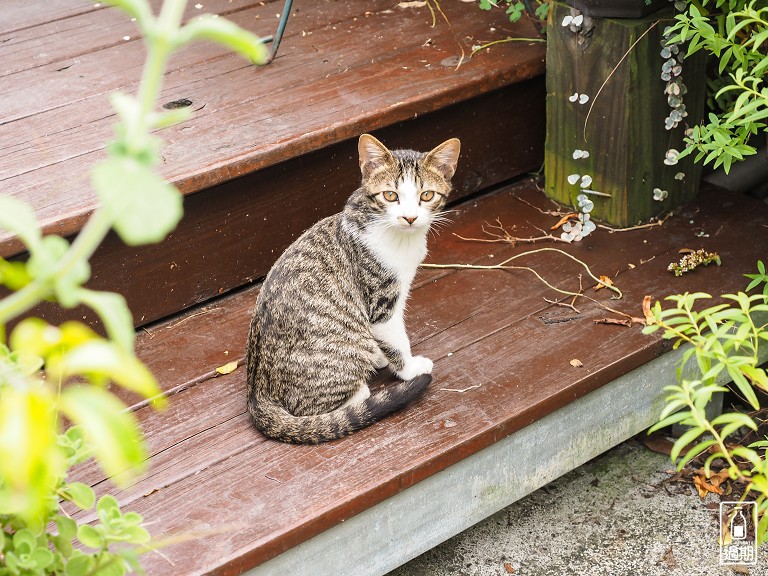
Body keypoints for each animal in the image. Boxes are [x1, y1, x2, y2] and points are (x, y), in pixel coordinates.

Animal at [246, 133, 462, 444]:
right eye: (390, 196)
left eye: (427, 195)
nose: (409, 217)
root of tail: (256, 392)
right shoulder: (382, 302)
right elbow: (397, 340)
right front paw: (409, 369)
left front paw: (385, 356)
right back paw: (360, 391)